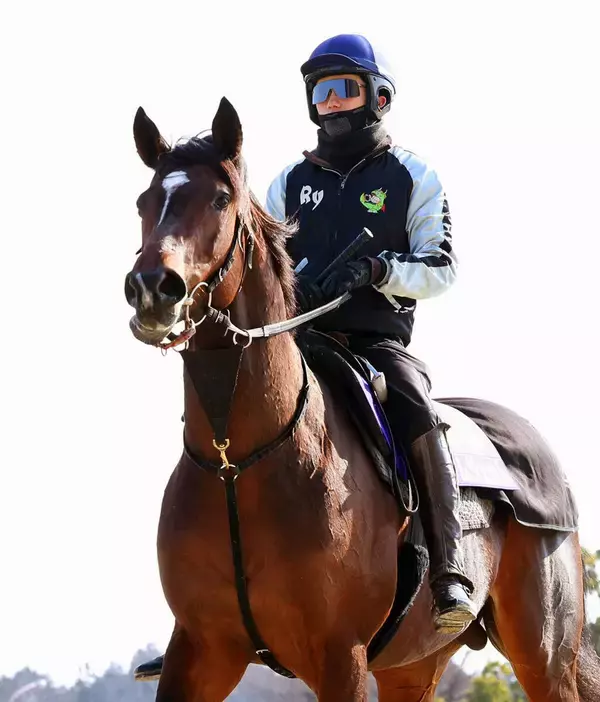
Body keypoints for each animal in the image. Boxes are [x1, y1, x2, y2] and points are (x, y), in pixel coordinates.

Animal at [124, 96, 599, 701]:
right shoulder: (200, 651)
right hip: (413, 669)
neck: (238, 462)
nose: (151, 289)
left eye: (219, 199)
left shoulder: (339, 656)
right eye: (145, 201)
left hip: (545, 659)